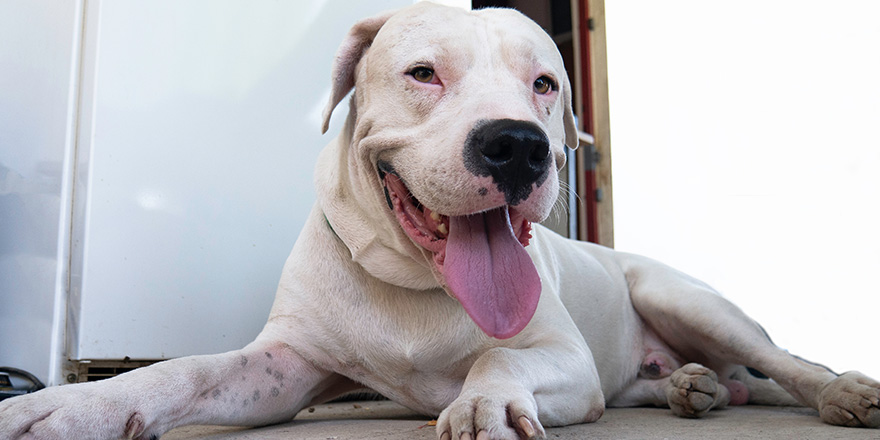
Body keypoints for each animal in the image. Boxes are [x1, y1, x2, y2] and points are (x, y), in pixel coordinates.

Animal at [1, 3, 880, 440]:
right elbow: (181, 372)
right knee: (679, 380)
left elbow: (500, 358)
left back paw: (840, 393)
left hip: (684, 298)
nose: (517, 145)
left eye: (545, 84)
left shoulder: (560, 355)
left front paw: (487, 403)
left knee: (783, 362)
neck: (412, 286)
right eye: (423, 73)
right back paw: (690, 387)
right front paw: (66, 409)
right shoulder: (283, 364)